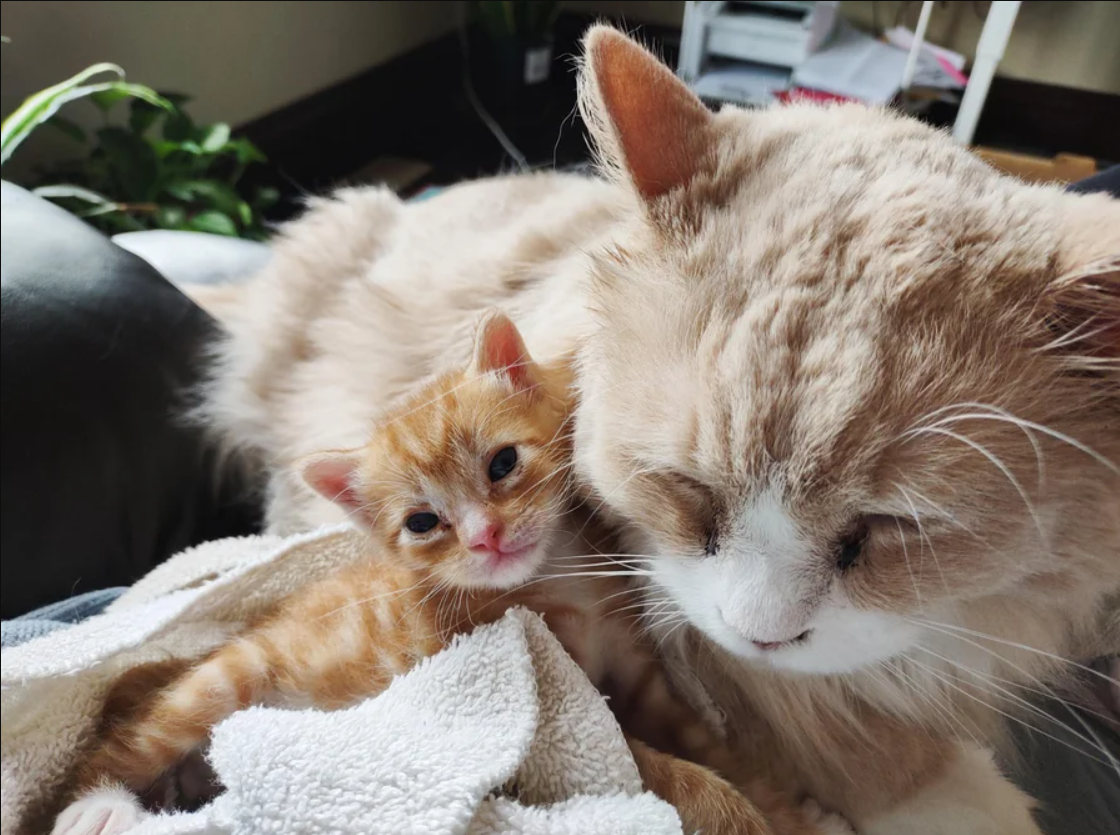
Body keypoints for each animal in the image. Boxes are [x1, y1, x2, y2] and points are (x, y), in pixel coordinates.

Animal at [52, 311, 842, 832]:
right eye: (424, 523)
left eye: (502, 463)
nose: (486, 537)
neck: (563, 582)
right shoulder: (561, 707)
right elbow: (659, 769)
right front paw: (741, 811)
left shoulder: (642, 677)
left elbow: (707, 743)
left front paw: (788, 805)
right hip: (224, 679)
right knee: (127, 738)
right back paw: (98, 804)